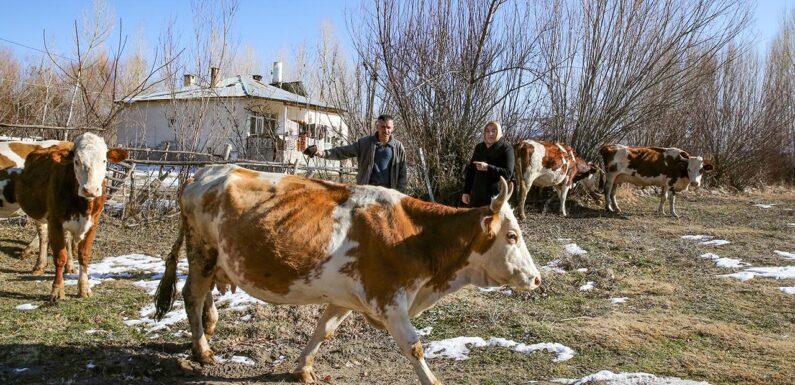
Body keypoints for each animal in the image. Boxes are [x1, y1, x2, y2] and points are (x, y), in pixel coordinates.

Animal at [15, 132, 128, 300]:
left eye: (104, 160)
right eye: (77, 161)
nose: (90, 190)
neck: (84, 205)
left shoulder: (93, 223)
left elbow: (84, 255)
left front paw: (84, 288)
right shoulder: (55, 221)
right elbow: (59, 256)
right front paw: (57, 290)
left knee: (66, 239)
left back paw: (69, 266)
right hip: (40, 214)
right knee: (43, 237)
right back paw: (39, 266)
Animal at [153, 164, 544, 384]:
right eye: (512, 236)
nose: (537, 278)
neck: (416, 237)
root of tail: (204, 173)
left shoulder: (345, 298)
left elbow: (322, 331)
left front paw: (303, 369)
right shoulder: (390, 302)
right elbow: (414, 346)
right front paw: (433, 380)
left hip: (214, 260)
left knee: (204, 298)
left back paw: (209, 329)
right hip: (202, 253)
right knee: (192, 296)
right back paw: (202, 350)